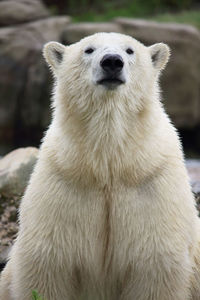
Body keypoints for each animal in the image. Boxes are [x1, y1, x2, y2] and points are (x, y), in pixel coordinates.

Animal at [1, 32, 200, 300]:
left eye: (129, 50)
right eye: (89, 49)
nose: (112, 62)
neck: (108, 164)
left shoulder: (151, 182)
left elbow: (154, 260)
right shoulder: (65, 179)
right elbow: (49, 261)